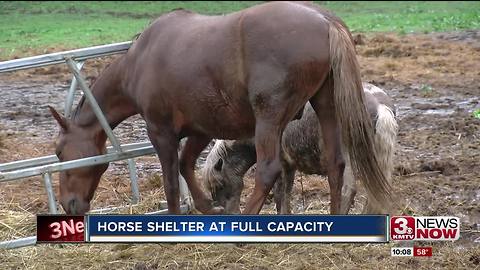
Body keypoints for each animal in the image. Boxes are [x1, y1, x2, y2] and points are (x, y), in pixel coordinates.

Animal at [49, 1, 394, 214]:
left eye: (59, 152)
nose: (69, 204)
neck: (141, 59)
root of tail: (325, 20)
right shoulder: (202, 129)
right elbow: (187, 165)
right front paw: (207, 206)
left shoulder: (161, 132)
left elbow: (171, 182)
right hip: (326, 108)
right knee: (336, 165)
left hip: (270, 120)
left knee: (268, 171)